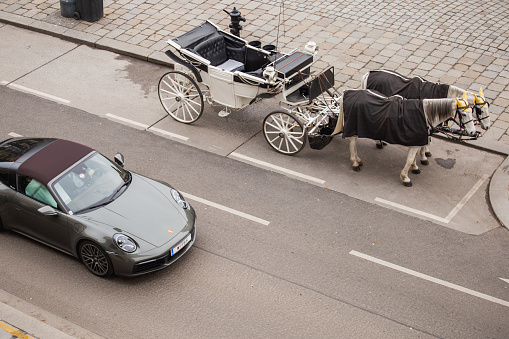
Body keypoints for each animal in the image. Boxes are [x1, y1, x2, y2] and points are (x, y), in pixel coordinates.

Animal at [330, 89, 476, 187]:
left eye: (472, 112)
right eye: (463, 114)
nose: (474, 132)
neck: (425, 114)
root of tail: (348, 93)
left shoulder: (417, 141)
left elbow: (414, 157)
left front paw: (415, 167)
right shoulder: (415, 142)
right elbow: (410, 159)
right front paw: (405, 177)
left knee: (352, 144)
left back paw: (358, 160)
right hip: (353, 129)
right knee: (352, 144)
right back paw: (355, 162)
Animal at [360, 69, 490, 165]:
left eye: (488, 107)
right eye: (479, 110)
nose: (487, 127)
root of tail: (368, 74)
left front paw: (425, 153)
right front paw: (423, 157)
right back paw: (378, 142)